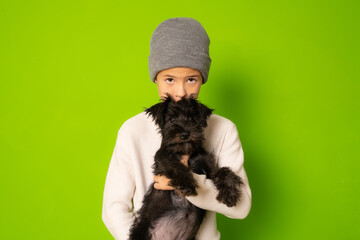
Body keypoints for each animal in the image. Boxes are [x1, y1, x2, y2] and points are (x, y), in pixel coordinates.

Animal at [128, 94, 243, 239]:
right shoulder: (163, 160)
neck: (186, 152)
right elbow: (176, 166)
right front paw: (186, 185)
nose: (185, 134)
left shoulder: (210, 171)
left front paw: (230, 194)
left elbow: (225, 171)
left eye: (192, 118)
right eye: (171, 119)